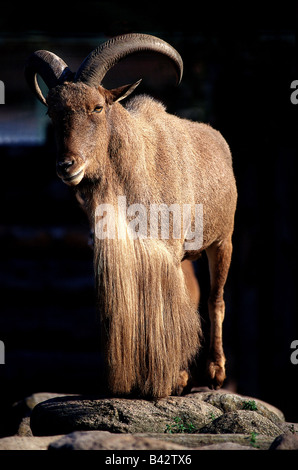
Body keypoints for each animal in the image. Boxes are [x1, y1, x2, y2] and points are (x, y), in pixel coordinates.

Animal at [25, 33, 237, 398]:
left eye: (97, 107)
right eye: (52, 112)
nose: (67, 166)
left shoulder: (166, 251)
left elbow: (171, 309)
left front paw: (168, 381)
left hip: (223, 240)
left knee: (215, 299)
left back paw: (213, 373)